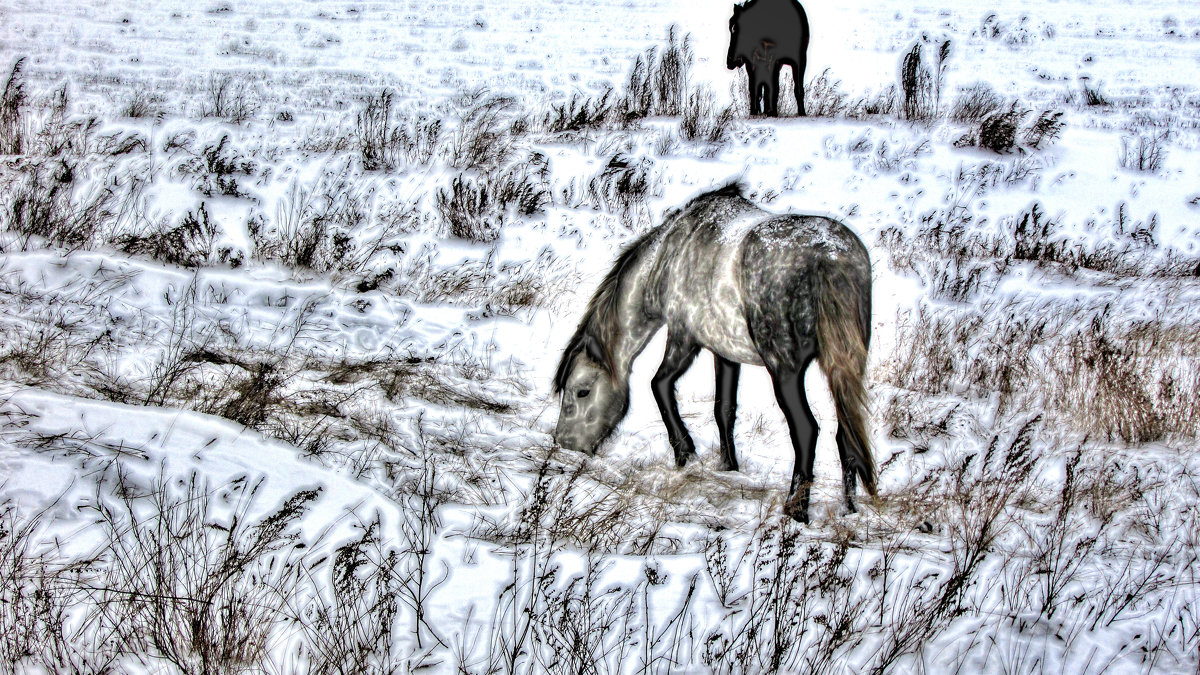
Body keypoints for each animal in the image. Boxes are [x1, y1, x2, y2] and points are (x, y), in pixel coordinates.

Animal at [549, 182, 873, 521]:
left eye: (582, 391)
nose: (565, 444)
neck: (667, 257)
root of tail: (831, 256)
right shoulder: (725, 352)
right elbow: (724, 409)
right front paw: (728, 466)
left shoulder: (683, 336)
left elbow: (659, 385)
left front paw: (684, 453)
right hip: (845, 367)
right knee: (846, 434)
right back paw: (849, 509)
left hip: (785, 369)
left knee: (806, 430)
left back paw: (795, 508)